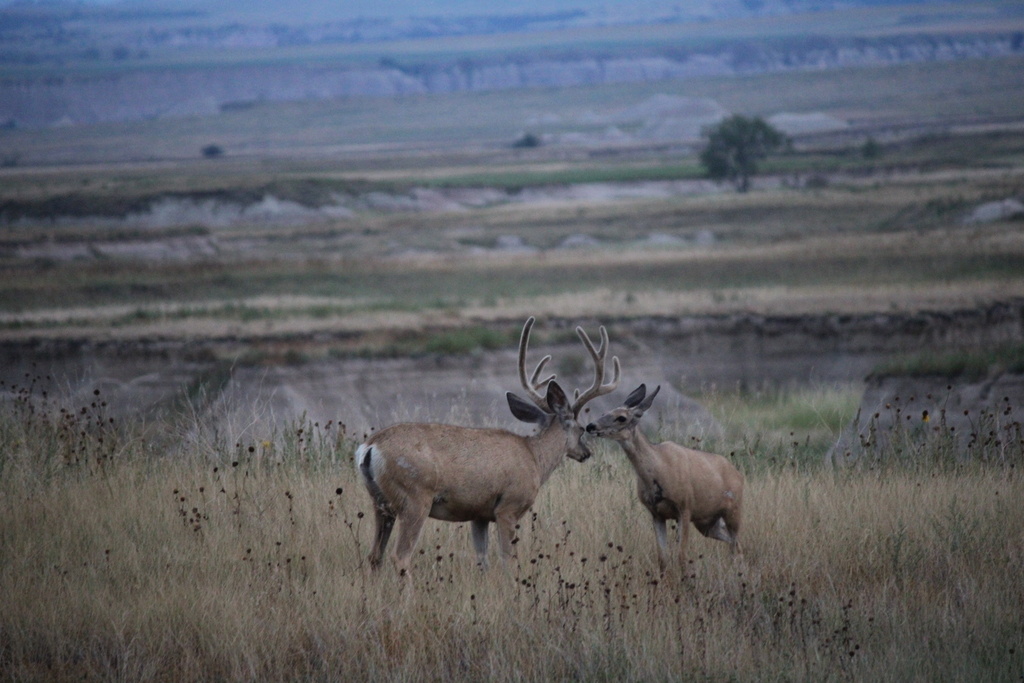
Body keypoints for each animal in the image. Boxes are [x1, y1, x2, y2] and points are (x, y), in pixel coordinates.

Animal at [356, 317, 618, 581]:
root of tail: (370, 446)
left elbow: (482, 560)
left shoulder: (479, 514)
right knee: (399, 556)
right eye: (581, 429)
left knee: (374, 555)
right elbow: (508, 559)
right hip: (415, 497)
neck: (535, 457)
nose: (586, 453)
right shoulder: (508, 506)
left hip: (379, 502)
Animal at [585, 385, 745, 573]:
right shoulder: (656, 513)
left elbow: (682, 557)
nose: (590, 426)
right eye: (605, 412)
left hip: (733, 510)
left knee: (737, 545)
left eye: (621, 417)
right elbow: (662, 559)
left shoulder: (685, 507)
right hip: (707, 523)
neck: (660, 469)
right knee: (734, 544)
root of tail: (738, 473)